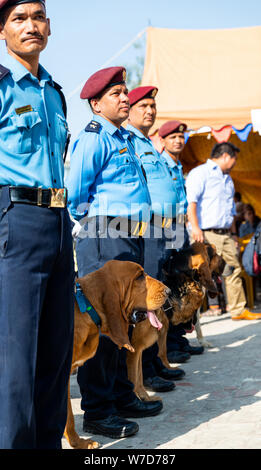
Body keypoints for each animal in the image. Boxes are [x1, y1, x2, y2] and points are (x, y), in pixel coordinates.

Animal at [126, 242, 217, 400]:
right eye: (216, 254)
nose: (194, 322)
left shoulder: (145, 344)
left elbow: (156, 358)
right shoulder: (135, 349)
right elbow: (136, 377)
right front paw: (143, 397)